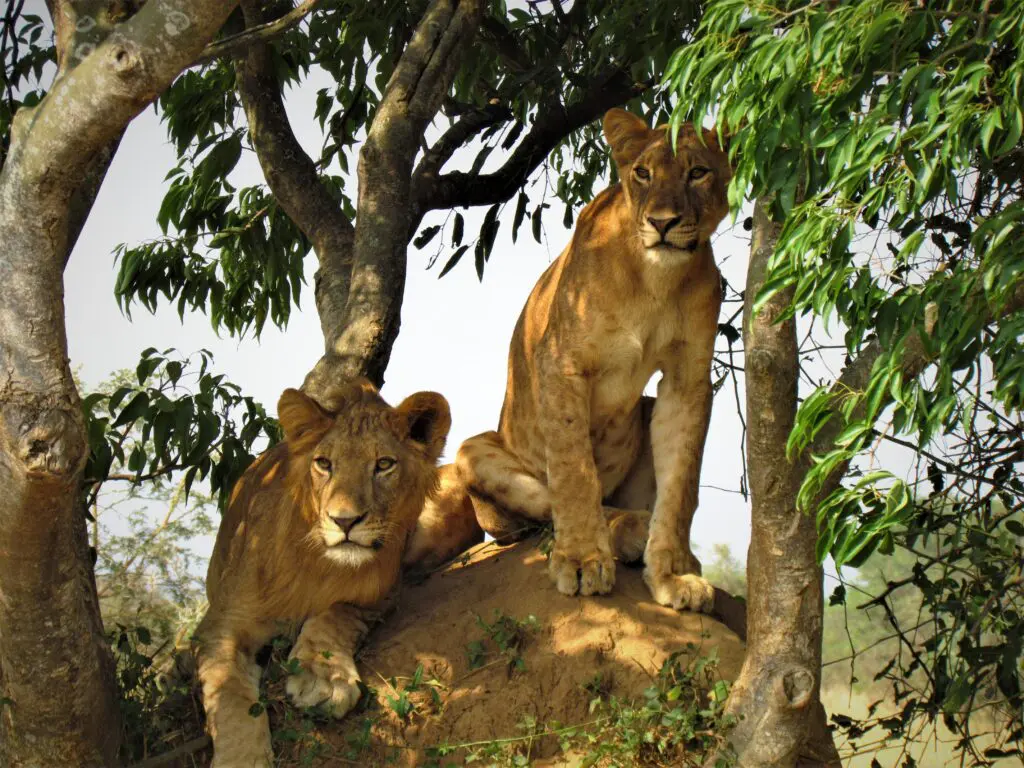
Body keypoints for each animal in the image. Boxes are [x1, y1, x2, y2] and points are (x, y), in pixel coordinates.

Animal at [192, 380, 481, 767]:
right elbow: (229, 694)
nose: (344, 521)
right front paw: (240, 757)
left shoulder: (378, 590)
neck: (319, 563)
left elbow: (336, 614)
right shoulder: (222, 623)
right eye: (324, 464)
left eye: (384, 464)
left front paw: (323, 677)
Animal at [456, 108, 731, 612]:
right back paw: (625, 531)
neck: (655, 279)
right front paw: (583, 561)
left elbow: (681, 485)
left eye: (697, 172)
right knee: (551, 507)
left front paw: (672, 574)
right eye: (642, 173)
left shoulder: (688, 379)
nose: (663, 223)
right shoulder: (561, 361)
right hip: (474, 452)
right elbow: (574, 471)